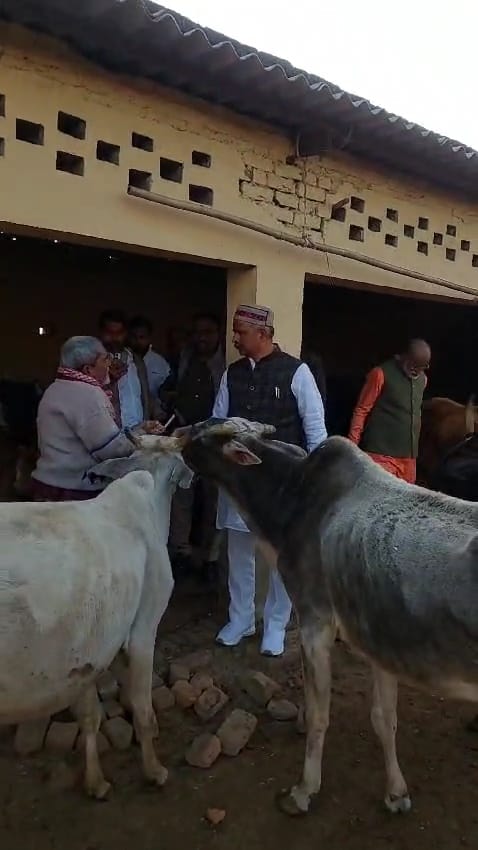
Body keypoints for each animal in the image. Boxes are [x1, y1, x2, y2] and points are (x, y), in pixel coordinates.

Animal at [0, 434, 192, 798]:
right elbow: (142, 708)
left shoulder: (90, 649)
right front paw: (154, 770)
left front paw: (96, 782)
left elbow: (90, 716)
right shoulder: (144, 628)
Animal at [175, 417, 478, 816]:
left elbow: (320, 714)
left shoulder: (314, 618)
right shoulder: (377, 632)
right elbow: (385, 717)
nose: (179, 434)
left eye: (205, 435)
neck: (292, 500)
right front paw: (396, 793)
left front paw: (303, 791)